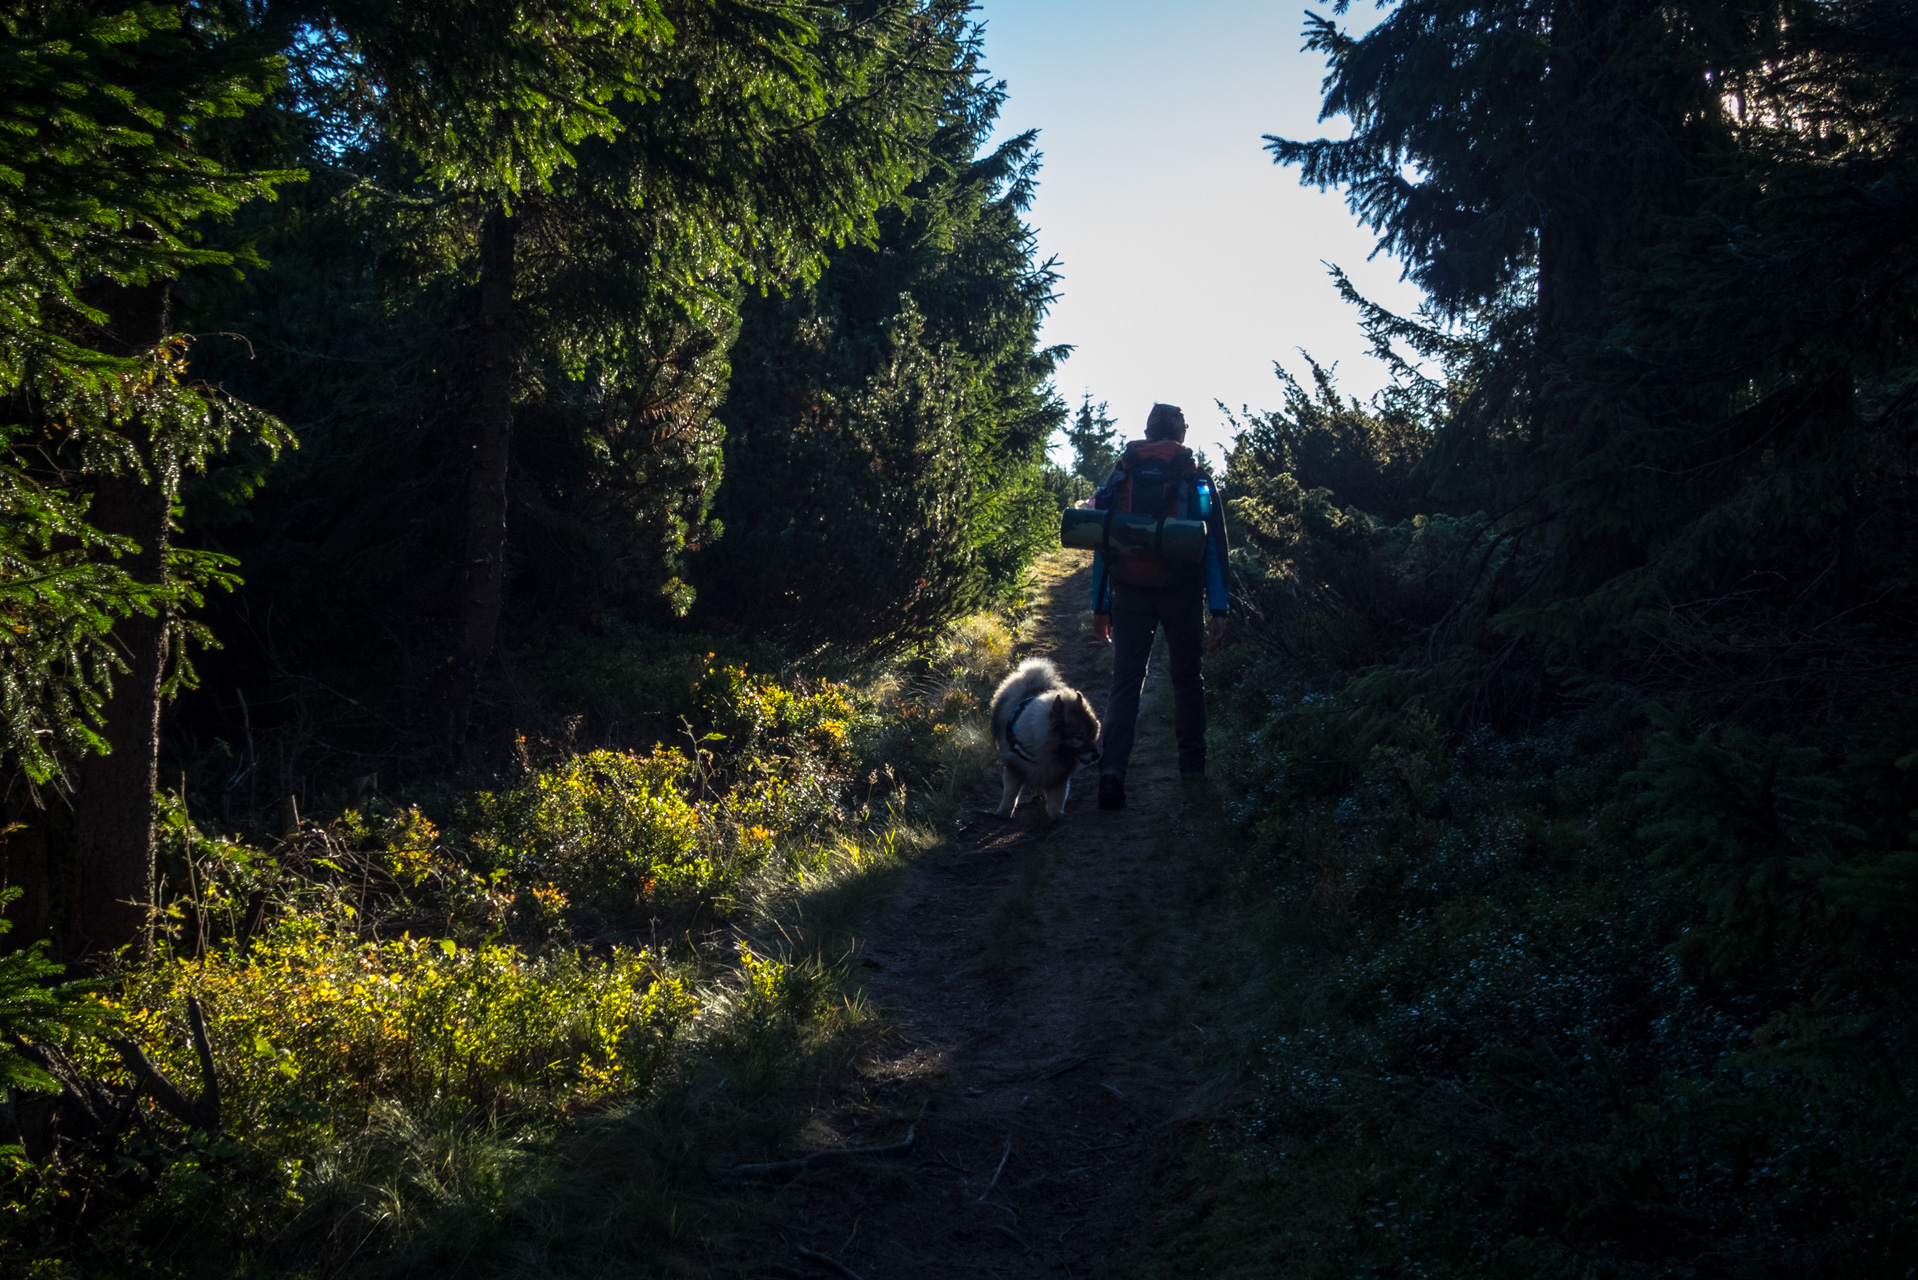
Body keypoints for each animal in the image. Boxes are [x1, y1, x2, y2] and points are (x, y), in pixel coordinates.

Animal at [989, 656, 1097, 825]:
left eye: (1092, 735)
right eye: (1079, 737)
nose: (1097, 755)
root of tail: (1031, 677)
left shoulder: (1058, 775)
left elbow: (1057, 798)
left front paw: (1056, 816)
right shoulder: (1015, 768)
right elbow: (1010, 793)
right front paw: (1004, 812)